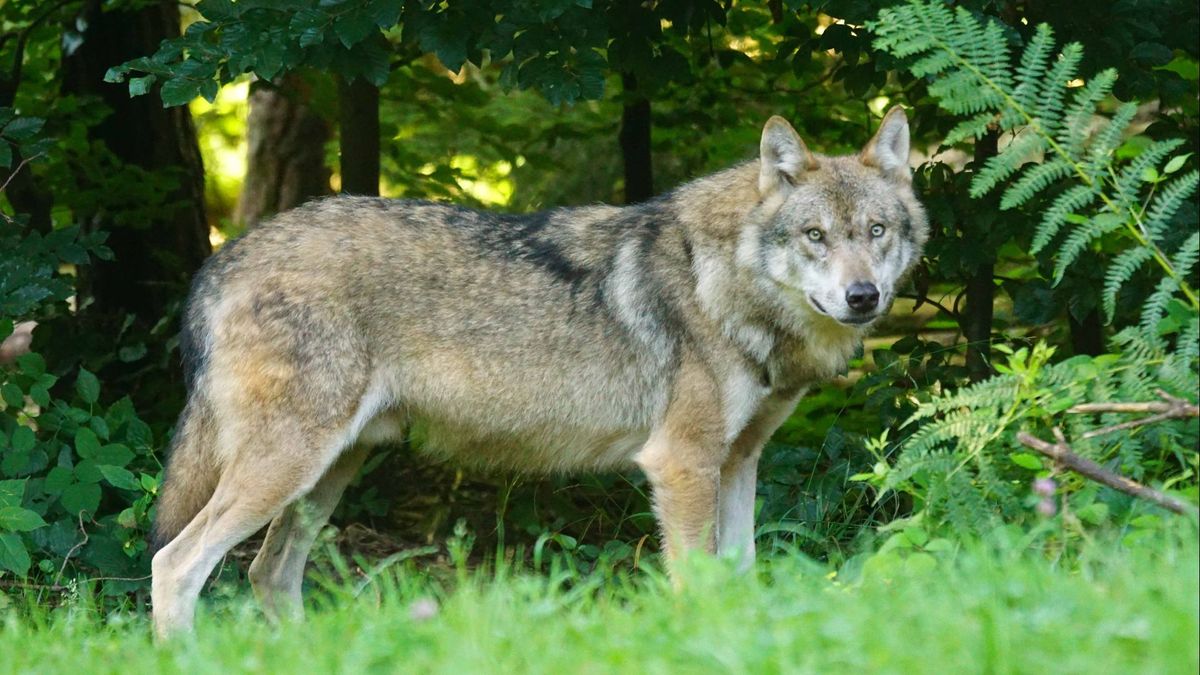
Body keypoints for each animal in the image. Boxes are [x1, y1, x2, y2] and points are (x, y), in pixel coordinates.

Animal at [149, 106, 926, 637]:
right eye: (815, 236)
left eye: (876, 232)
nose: (863, 297)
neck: (723, 282)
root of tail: (223, 258)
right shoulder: (682, 464)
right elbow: (697, 585)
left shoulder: (738, 462)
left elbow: (741, 577)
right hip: (288, 468)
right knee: (176, 564)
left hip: (327, 474)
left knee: (268, 573)